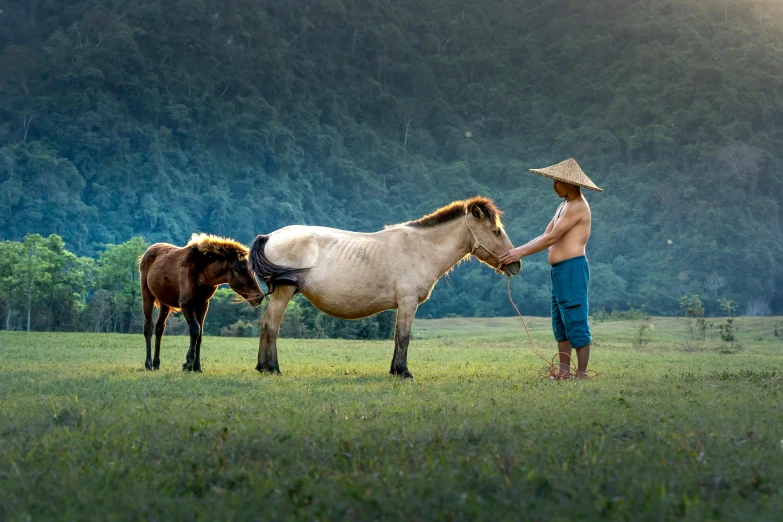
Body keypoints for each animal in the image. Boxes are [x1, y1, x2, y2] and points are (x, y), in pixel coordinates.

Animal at [251, 195, 520, 378]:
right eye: (496, 231)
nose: (515, 264)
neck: (422, 248)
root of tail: (269, 236)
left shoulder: (402, 305)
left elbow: (397, 337)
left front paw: (395, 370)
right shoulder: (408, 303)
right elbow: (404, 337)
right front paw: (403, 372)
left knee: (266, 326)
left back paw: (263, 367)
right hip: (283, 294)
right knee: (271, 326)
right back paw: (271, 368)